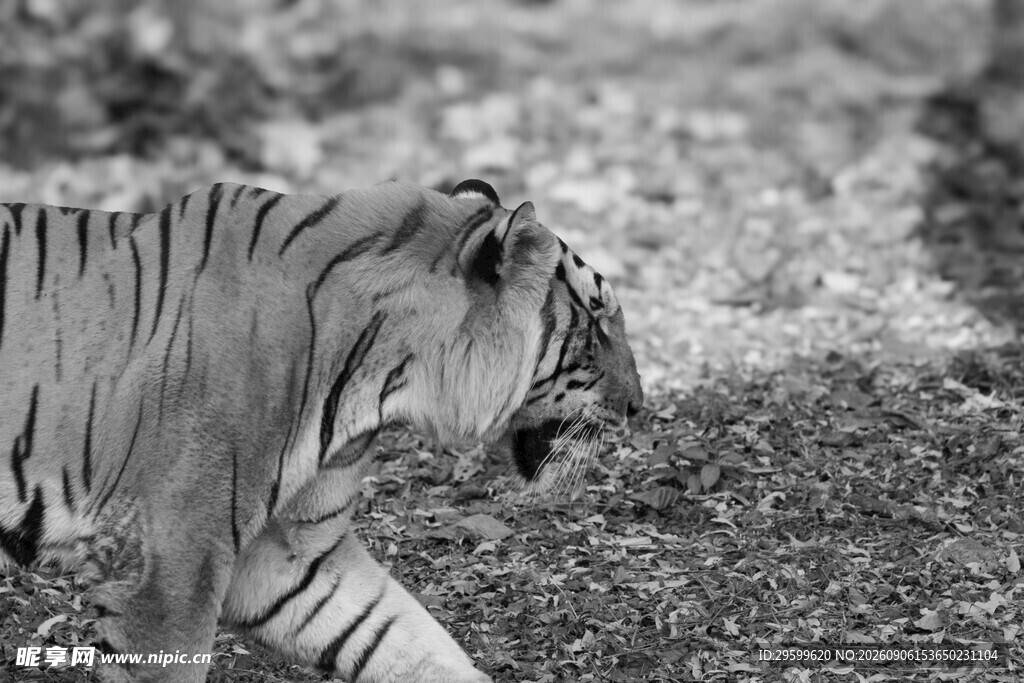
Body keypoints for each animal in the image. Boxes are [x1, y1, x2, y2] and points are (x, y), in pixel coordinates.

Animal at [0, 178, 643, 682]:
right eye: (596, 321)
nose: (638, 405)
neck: (387, 379)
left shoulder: (285, 556)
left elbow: (400, 637)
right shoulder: (167, 567)